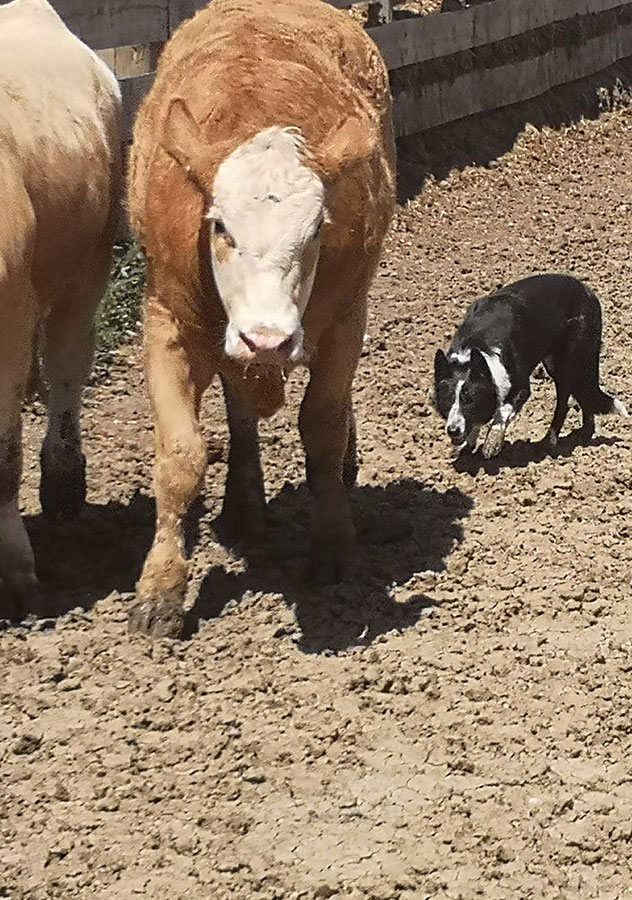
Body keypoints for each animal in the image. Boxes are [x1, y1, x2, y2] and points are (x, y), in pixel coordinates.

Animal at [127, 0, 396, 640]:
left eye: (318, 228)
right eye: (220, 226)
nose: (269, 340)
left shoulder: (345, 317)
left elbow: (322, 426)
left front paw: (333, 544)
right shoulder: (166, 323)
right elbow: (180, 457)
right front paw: (161, 588)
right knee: (240, 407)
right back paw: (243, 502)